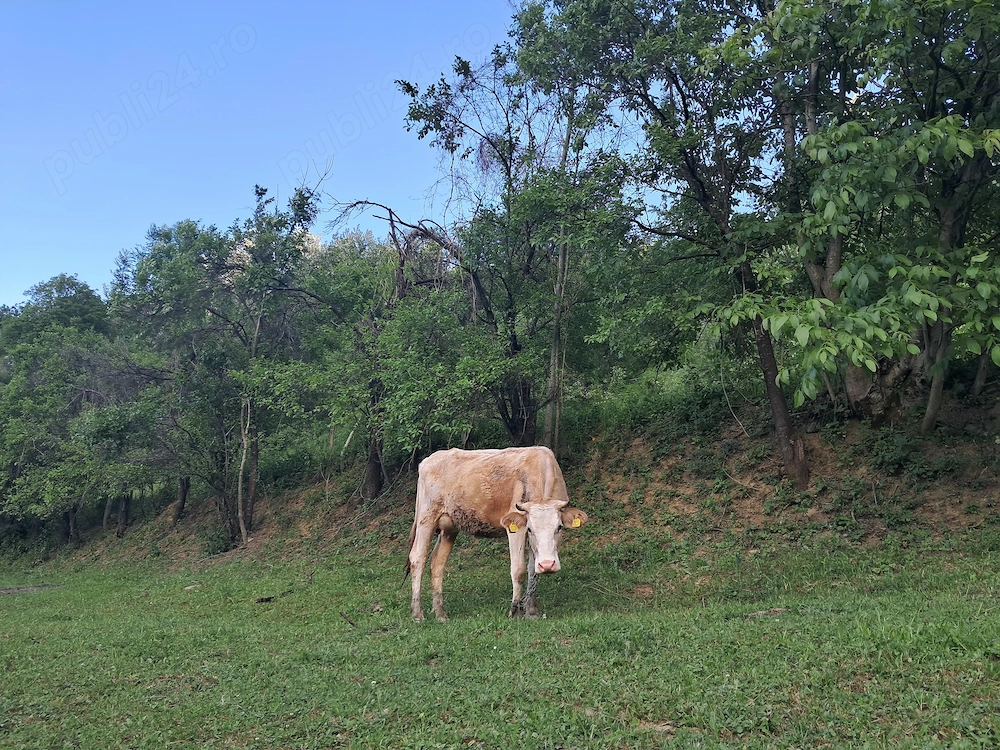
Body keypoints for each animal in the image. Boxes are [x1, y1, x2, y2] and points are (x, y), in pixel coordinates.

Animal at [406, 446, 588, 622]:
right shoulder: (516, 529)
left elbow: (533, 571)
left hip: (449, 527)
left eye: (559, 527)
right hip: (426, 518)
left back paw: (441, 614)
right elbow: (519, 570)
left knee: (437, 563)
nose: (548, 565)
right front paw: (515, 611)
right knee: (417, 558)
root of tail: (428, 460)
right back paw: (417, 613)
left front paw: (531, 610)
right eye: (530, 529)